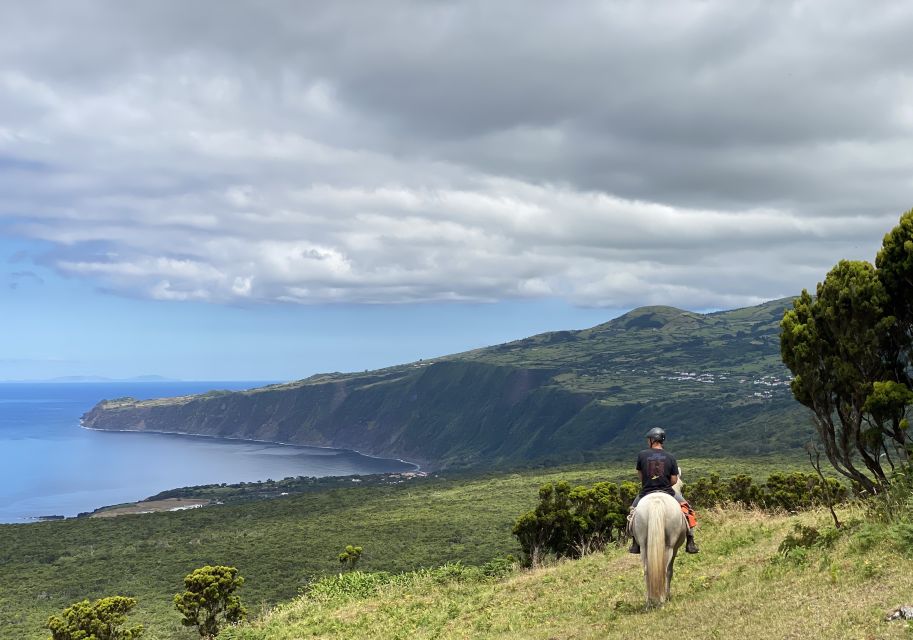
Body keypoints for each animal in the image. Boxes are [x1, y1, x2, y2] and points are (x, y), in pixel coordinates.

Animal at [632, 476, 688, 604]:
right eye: (682, 485)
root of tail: (656, 500)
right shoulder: (675, 548)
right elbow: (670, 570)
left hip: (643, 546)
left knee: (646, 570)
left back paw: (650, 599)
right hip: (670, 546)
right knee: (666, 569)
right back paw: (664, 597)